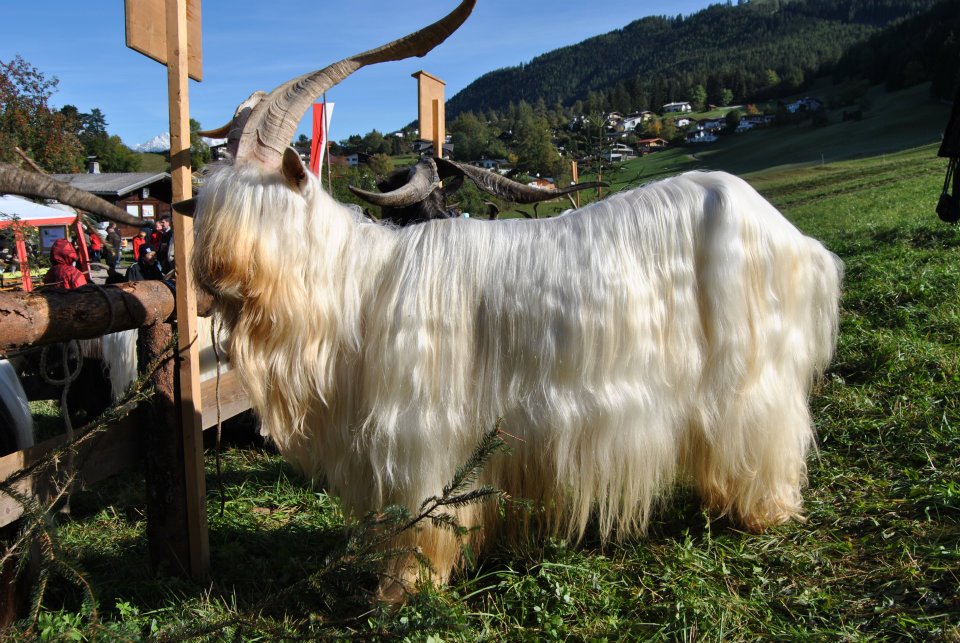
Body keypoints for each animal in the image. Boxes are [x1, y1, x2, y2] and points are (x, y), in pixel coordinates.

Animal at [180, 0, 840, 600]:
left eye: (262, 203)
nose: (214, 285)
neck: (359, 284)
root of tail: (792, 237)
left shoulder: (420, 431)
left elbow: (419, 521)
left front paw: (405, 587)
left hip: (752, 368)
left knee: (765, 430)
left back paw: (764, 512)